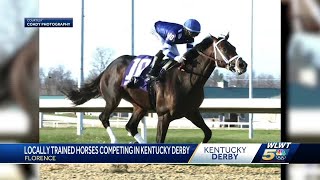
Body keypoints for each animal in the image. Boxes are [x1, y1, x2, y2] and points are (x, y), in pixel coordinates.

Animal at [63, 33, 248, 143]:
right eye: (224, 48)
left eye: (234, 48)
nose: (242, 65)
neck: (186, 78)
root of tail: (108, 67)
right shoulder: (164, 115)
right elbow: (160, 140)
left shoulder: (192, 112)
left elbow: (208, 133)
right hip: (113, 99)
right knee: (103, 117)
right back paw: (115, 141)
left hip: (140, 106)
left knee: (130, 126)